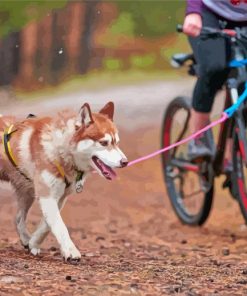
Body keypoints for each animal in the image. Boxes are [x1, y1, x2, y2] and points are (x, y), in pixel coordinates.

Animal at [0, 102, 127, 262]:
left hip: (27, 192)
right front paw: (70, 250)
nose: (125, 162)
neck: (61, 150)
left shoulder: (59, 198)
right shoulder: (47, 196)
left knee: (18, 218)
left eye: (117, 143)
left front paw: (34, 242)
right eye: (104, 143)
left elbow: (46, 226)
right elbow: (60, 226)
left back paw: (25, 238)